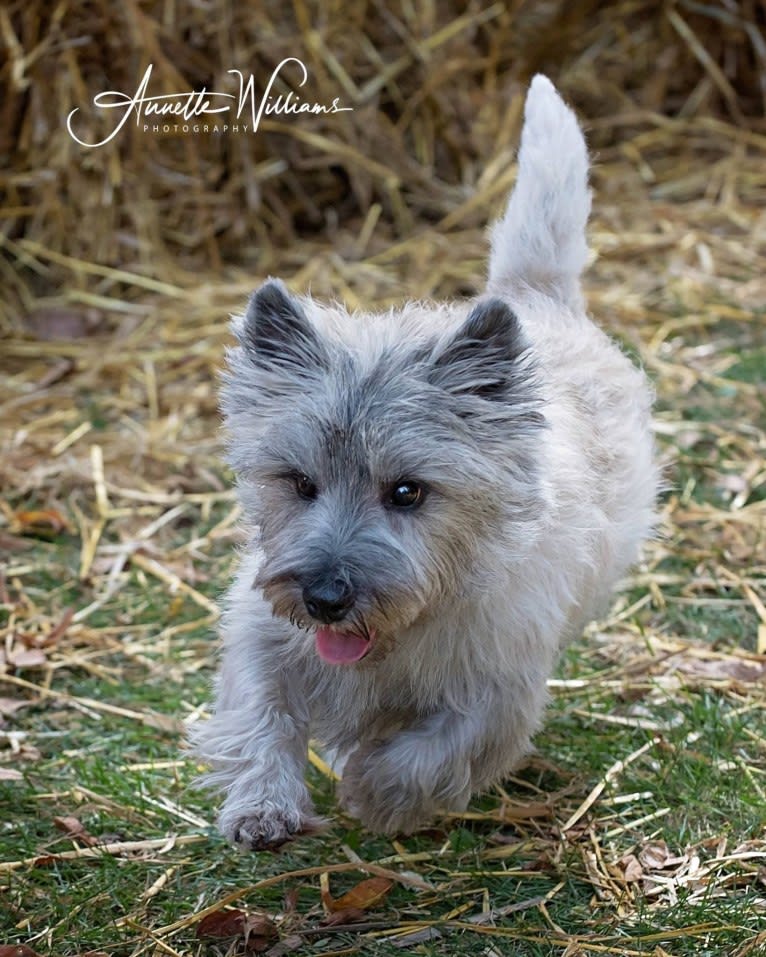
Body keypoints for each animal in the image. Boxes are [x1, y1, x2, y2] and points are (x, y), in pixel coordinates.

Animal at [189, 76, 656, 852]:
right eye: (300, 483)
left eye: (408, 492)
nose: (325, 598)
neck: (401, 629)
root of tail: (533, 297)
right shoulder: (264, 636)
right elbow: (261, 713)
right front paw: (263, 805)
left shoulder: (499, 687)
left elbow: (436, 751)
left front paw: (376, 793)